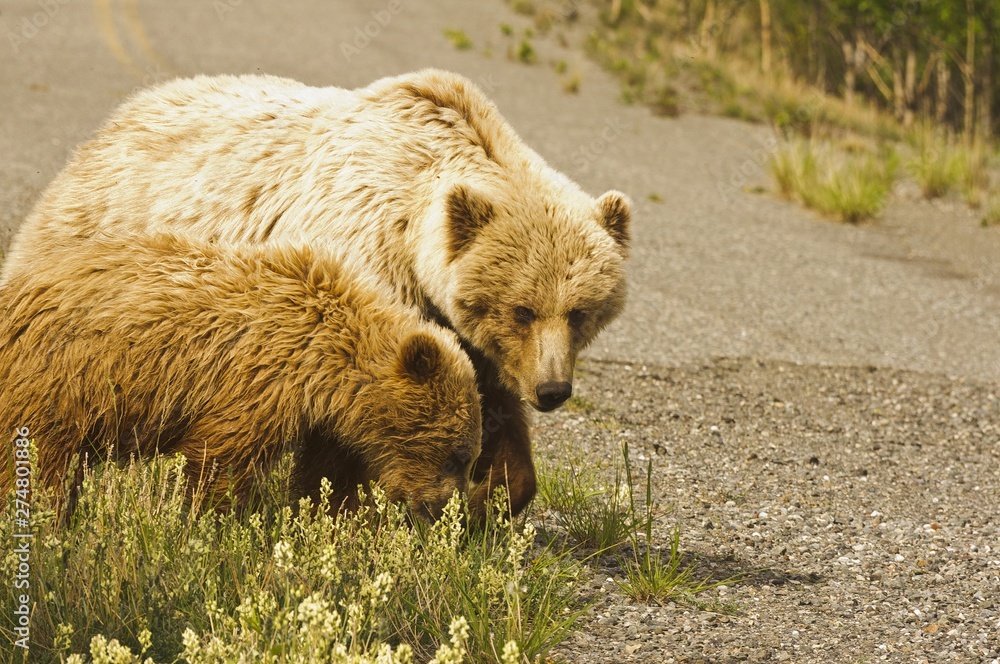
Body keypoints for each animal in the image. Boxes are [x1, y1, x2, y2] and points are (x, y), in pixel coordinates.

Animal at [0, 232, 481, 520]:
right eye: (456, 455)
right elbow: (221, 459)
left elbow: (326, 476)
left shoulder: (327, 423)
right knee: (37, 466)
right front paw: (213, 519)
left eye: (468, 456)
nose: (446, 509)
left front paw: (332, 516)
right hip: (56, 384)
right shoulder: (258, 381)